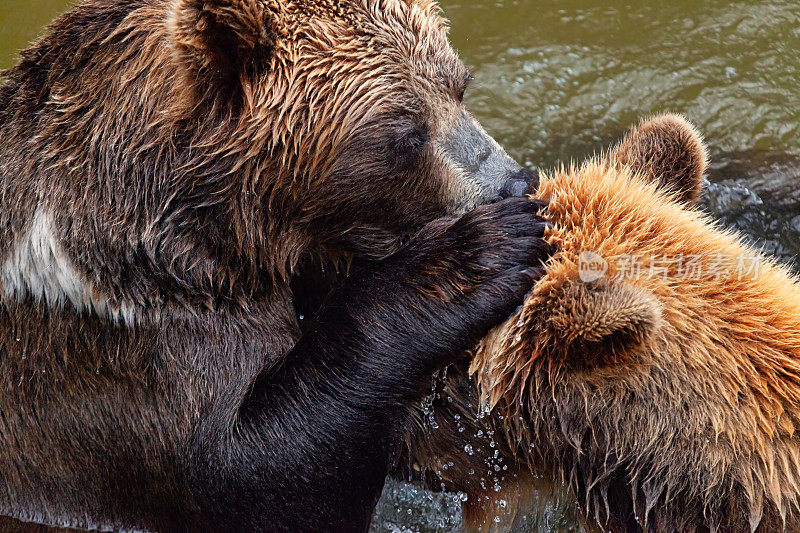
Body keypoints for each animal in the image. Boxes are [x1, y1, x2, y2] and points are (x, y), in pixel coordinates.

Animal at [0, 2, 552, 528]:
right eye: (405, 133)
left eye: (460, 85)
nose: (517, 185)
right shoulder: (121, 349)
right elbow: (262, 473)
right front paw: (478, 253)